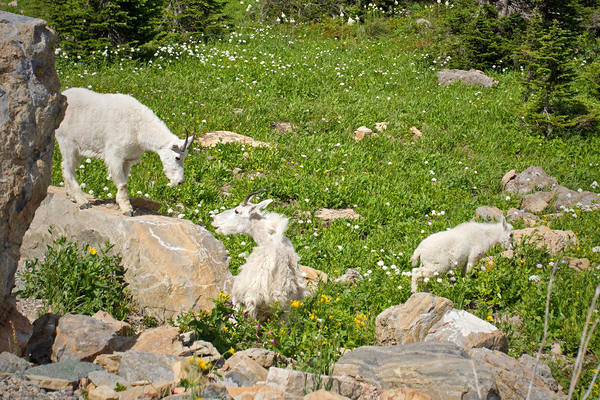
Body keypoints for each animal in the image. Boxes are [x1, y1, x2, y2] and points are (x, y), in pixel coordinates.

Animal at [54, 87, 195, 216]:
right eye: (177, 157)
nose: (180, 181)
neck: (139, 128)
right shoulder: (115, 156)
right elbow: (122, 184)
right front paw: (127, 209)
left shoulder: (127, 159)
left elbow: (125, 181)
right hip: (68, 143)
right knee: (68, 168)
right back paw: (82, 201)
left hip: (80, 149)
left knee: (64, 166)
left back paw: (70, 195)